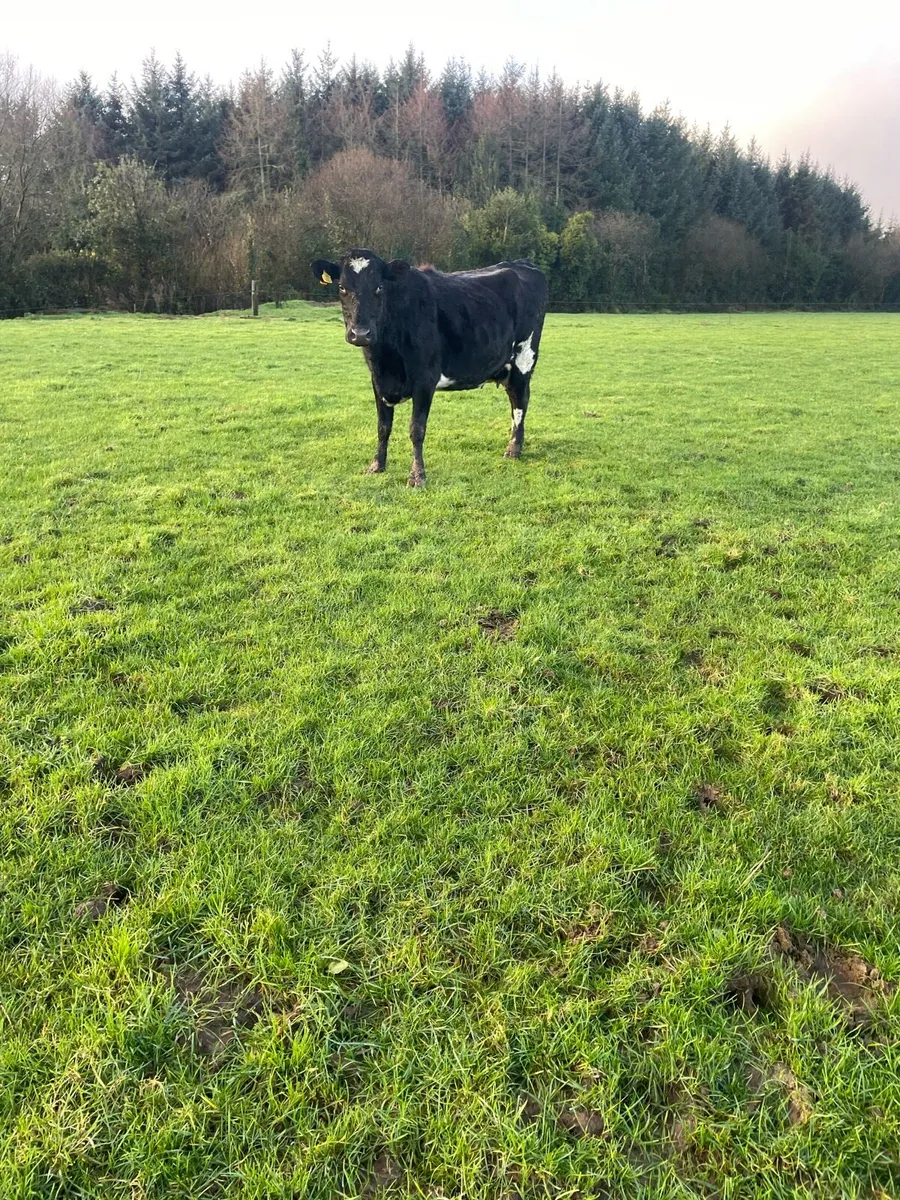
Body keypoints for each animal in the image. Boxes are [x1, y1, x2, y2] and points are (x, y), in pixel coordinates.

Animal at [310, 249, 549, 487]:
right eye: (342, 287)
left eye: (379, 287)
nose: (360, 334)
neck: (386, 358)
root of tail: (521, 263)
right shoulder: (377, 381)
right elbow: (383, 426)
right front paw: (377, 466)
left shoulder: (425, 380)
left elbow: (416, 430)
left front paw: (417, 476)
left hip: (524, 359)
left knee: (520, 403)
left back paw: (513, 449)